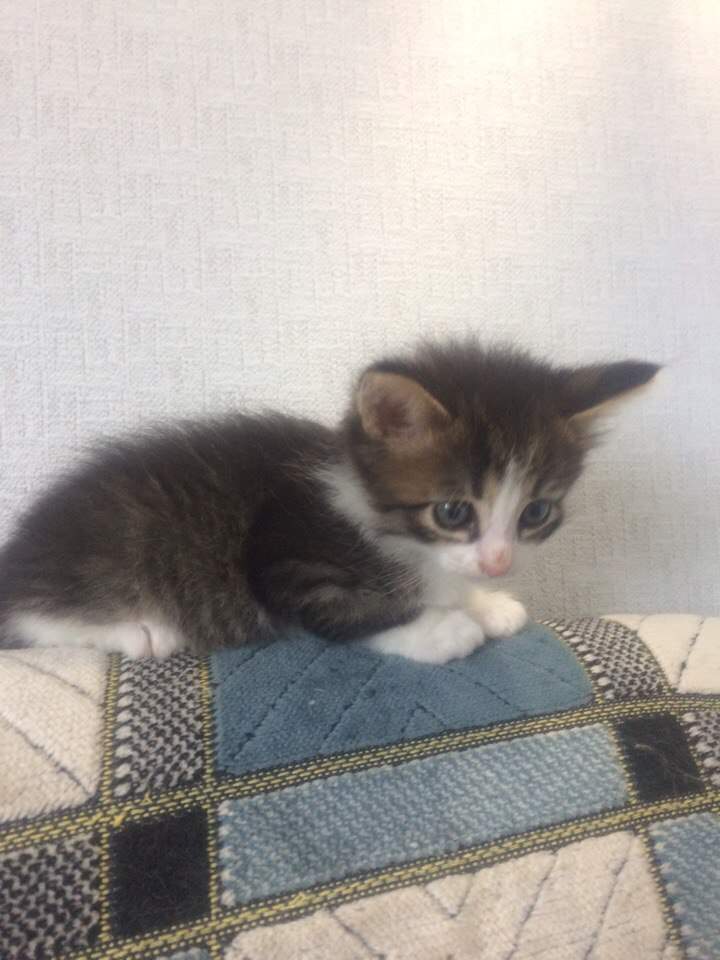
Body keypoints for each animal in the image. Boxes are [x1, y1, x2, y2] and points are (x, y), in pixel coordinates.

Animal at [0, 340, 659, 663]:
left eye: (536, 513)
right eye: (452, 512)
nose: (499, 564)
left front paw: (485, 602)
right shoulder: (283, 558)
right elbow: (356, 615)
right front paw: (444, 628)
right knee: (29, 620)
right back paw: (137, 631)